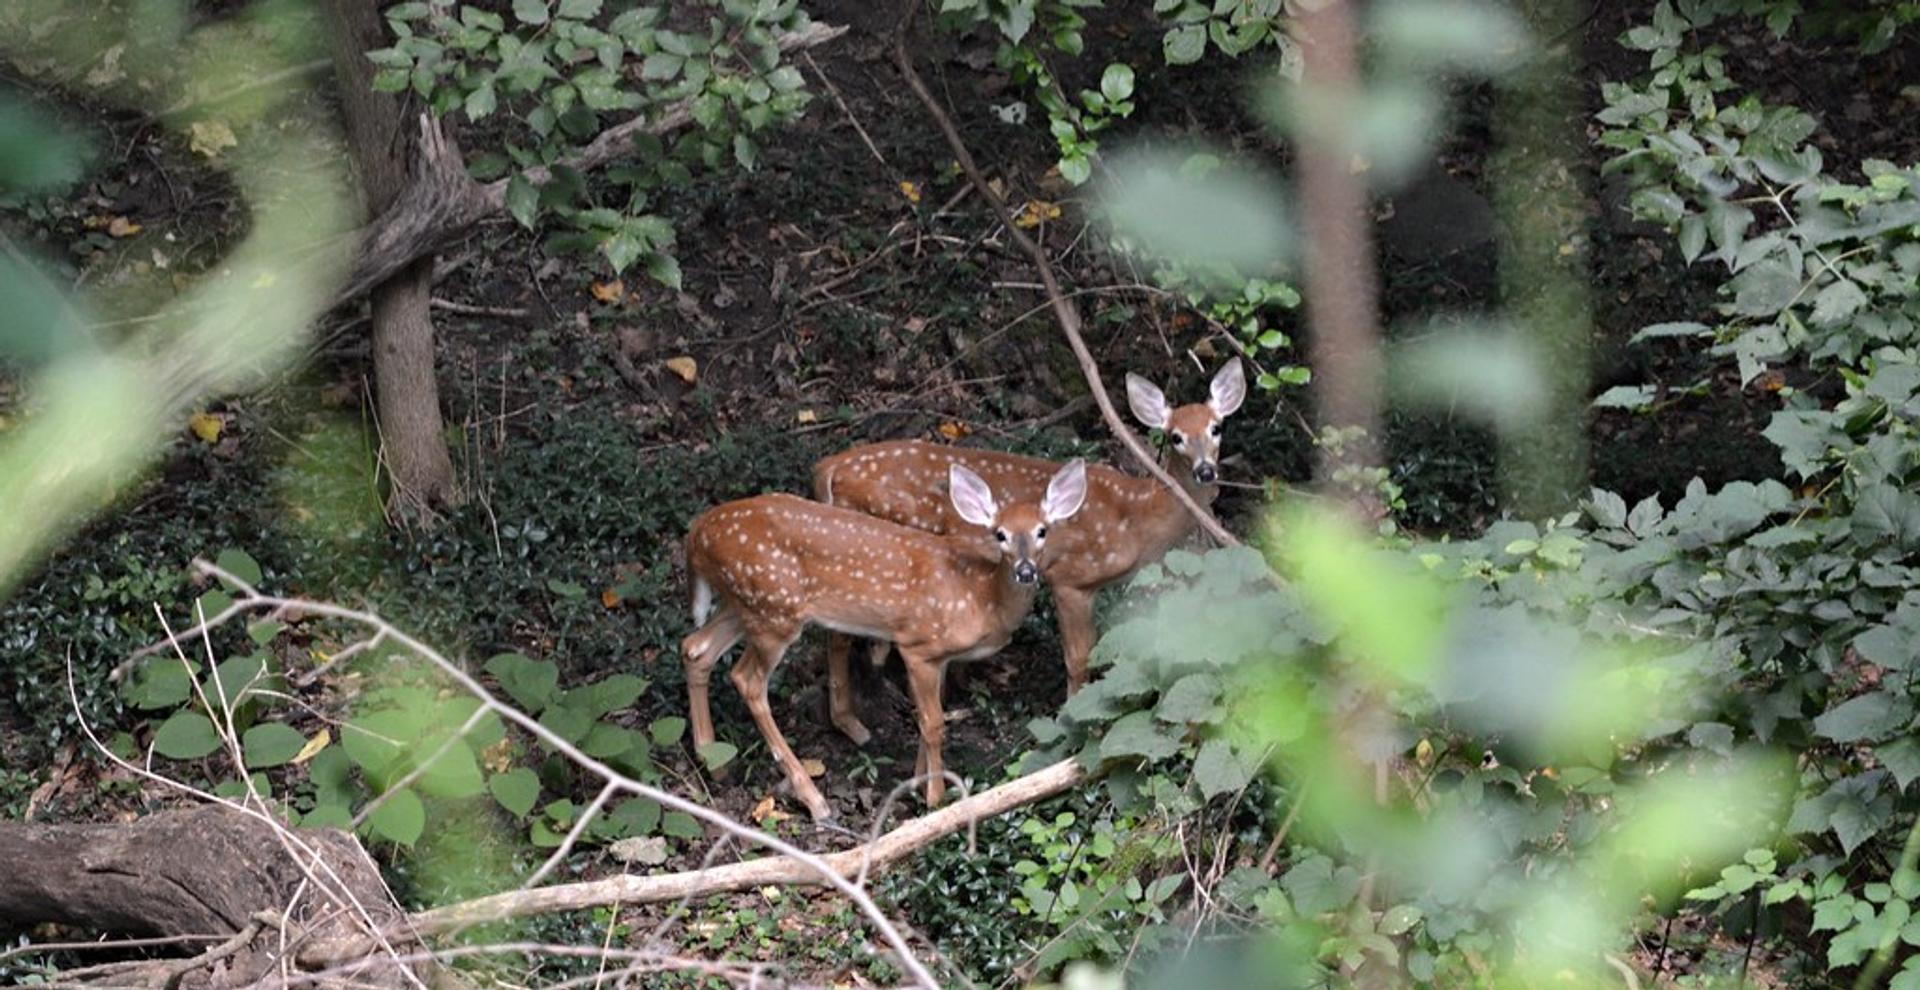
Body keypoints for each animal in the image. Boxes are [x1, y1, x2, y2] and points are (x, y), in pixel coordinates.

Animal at [679, 459, 1088, 820]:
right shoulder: (918, 645)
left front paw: (916, 784)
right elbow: (934, 724)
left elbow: (927, 719)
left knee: (695, 648)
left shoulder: (939, 657)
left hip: (745, 603)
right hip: (773, 610)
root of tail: (695, 534)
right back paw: (813, 799)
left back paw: (713, 762)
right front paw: (935, 797)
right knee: (746, 680)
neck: (982, 597)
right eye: (1000, 534)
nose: (1025, 570)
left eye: (1042, 530)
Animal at [811, 359, 1245, 730]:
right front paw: (1072, 715)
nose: (1206, 471)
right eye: (1176, 436)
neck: (1137, 518)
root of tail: (827, 468)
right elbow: (1077, 656)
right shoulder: (1071, 578)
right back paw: (852, 722)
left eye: (1216, 427)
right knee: (837, 633)